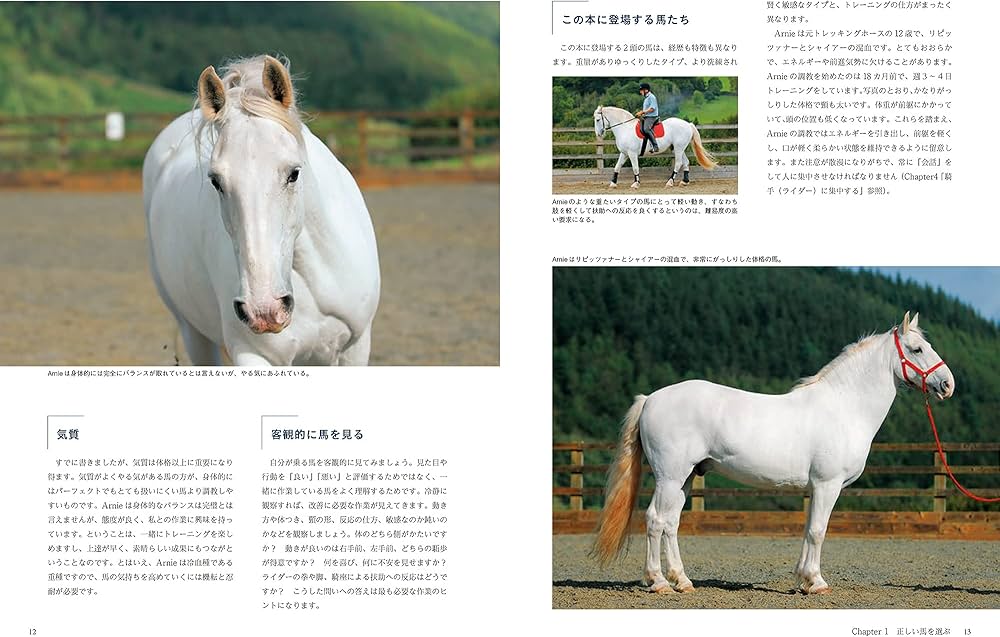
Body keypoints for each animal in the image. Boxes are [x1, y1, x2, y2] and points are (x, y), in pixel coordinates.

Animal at [143, 55, 380, 365]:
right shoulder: (252, 354)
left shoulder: (355, 347)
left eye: (294, 173)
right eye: (216, 181)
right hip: (192, 331)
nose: (264, 310)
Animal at [592, 312, 955, 595]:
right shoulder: (828, 485)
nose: (948, 384)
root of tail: (650, 399)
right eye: (917, 348)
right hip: (669, 476)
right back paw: (658, 583)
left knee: (671, 523)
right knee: (655, 520)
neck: (844, 408)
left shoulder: (816, 488)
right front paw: (817, 583)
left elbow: (809, 529)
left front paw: (804, 580)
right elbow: (818, 530)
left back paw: (682, 581)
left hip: (685, 478)